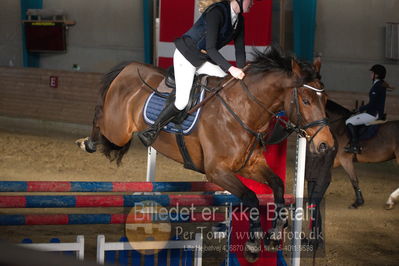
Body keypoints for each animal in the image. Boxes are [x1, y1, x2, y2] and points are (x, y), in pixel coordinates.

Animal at [76, 47, 336, 262]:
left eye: (325, 99)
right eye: (305, 100)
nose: (326, 145)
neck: (244, 110)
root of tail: (129, 68)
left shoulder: (249, 165)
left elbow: (278, 185)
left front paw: (273, 233)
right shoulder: (217, 172)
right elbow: (251, 198)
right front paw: (252, 245)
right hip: (117, 130)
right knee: (99, 117)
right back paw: (86, 142)